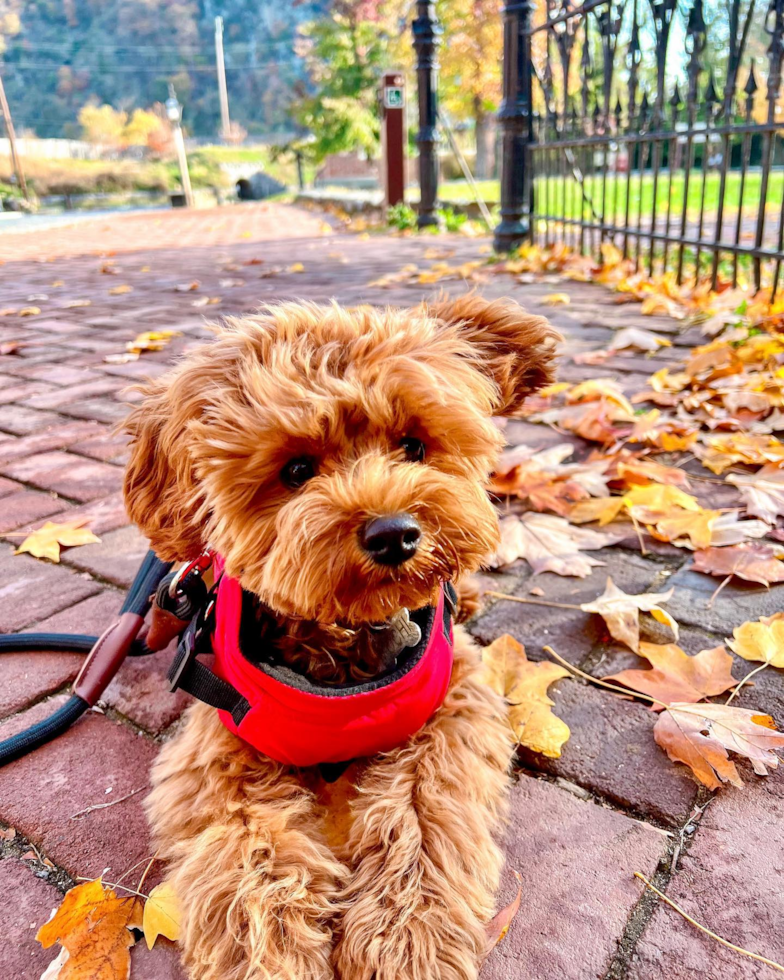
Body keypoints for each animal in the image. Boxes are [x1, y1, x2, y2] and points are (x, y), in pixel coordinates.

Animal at [124, 296, 556, 980]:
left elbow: (424, 815)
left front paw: (406, 939)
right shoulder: (221, 745)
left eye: (414, 445)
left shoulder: (451, 709)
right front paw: (272, 954)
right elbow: (249, 850)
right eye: (297, 469)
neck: (345, 639)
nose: (393, 533)